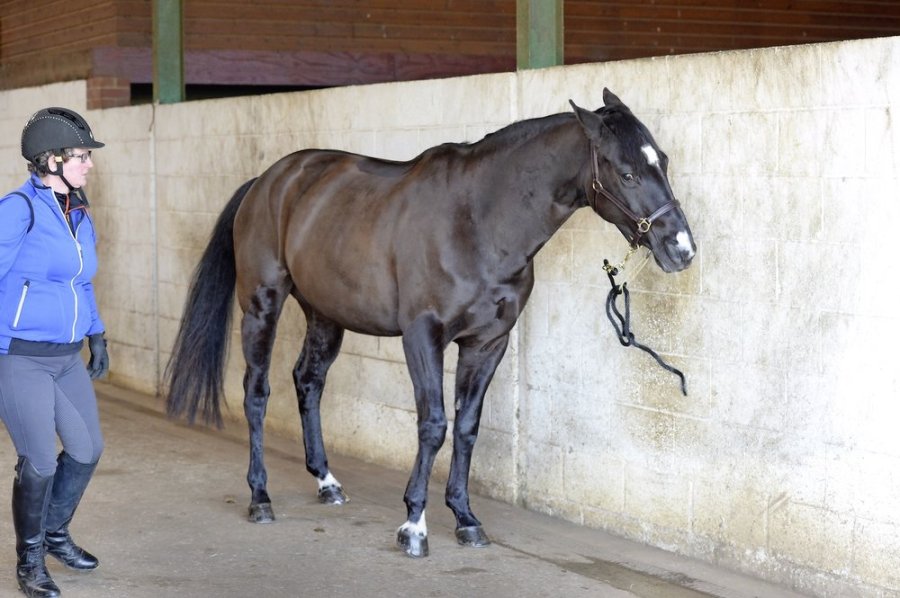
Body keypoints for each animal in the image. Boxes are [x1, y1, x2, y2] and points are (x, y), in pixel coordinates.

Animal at [164, 88, 696, 558]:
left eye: (664, 162)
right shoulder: (422, 337)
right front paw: (414, 526)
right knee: (257, 393)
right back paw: (260, 497)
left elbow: (467, 427)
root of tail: (266, 181)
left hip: (325, 314)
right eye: (627, 172)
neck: (478, 222)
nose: (682, 249)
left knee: (308, 381)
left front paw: (465, 519)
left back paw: (327, 482)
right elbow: (433, 424)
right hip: (261, 305)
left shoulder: (488, 343)